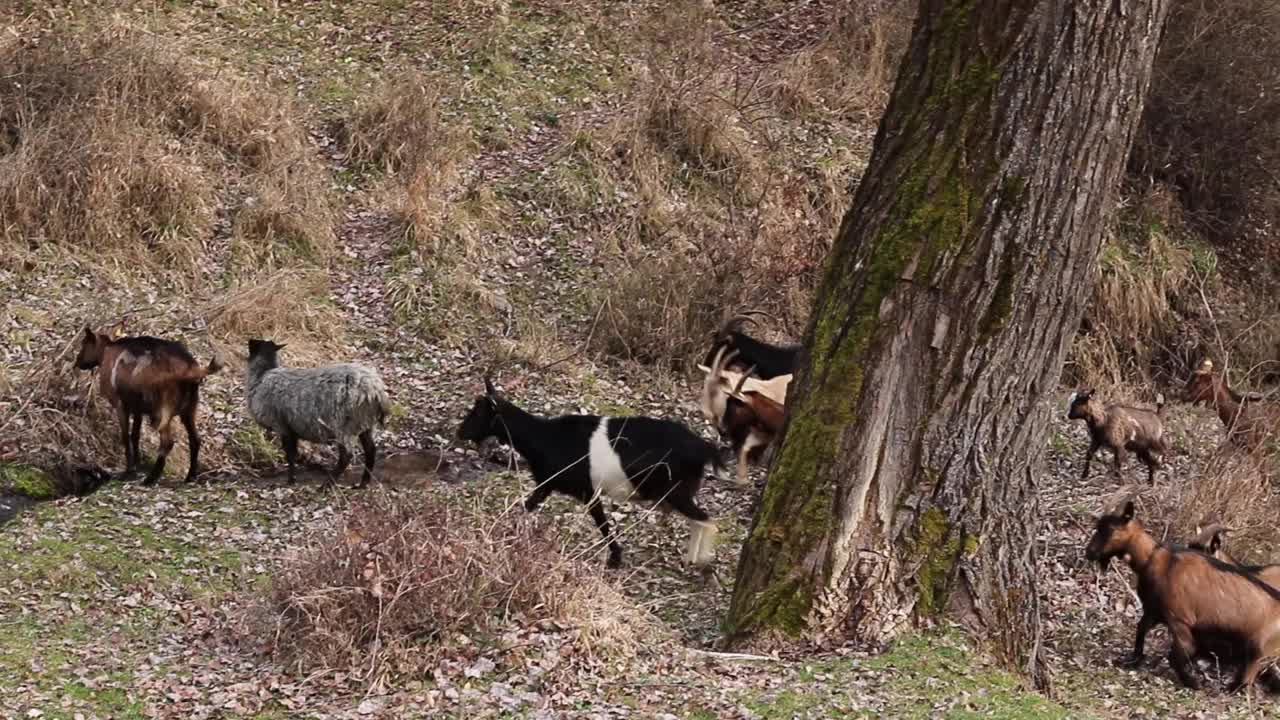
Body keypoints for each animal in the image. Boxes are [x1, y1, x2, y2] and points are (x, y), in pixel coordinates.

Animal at [244, 338, 389, 484]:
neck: (262, 376)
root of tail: (375, 390)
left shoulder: (282, 426)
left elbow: (290, 455)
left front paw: (291, 479)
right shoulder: (292, 429)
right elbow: (293, 454)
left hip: (344, 425)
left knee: (346, 455)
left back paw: (327, 484)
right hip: (365, 423)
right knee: (371, 449)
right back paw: (363, 483)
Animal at [458, 376, 721, 566]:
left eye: (478, 412)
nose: (460, 432)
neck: (545, 437)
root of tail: (704, 447)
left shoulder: (587, 491)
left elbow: (602, 523)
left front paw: (615, 558)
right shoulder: (548, 484)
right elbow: (528, 506)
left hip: (676, 491)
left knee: (706, 520)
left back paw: (700, 560)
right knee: (700, 520)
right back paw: (692, 558)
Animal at [1090, 499, 1280, 691]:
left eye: (1109, 529)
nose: (1090, 552)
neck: (1156, 559)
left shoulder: (1180, 620)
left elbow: (1178, 655)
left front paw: (1192, 682)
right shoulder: (1154, 611)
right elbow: (1141, 630)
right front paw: (1133, 660)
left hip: (1258, 651)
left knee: (1245, 681)